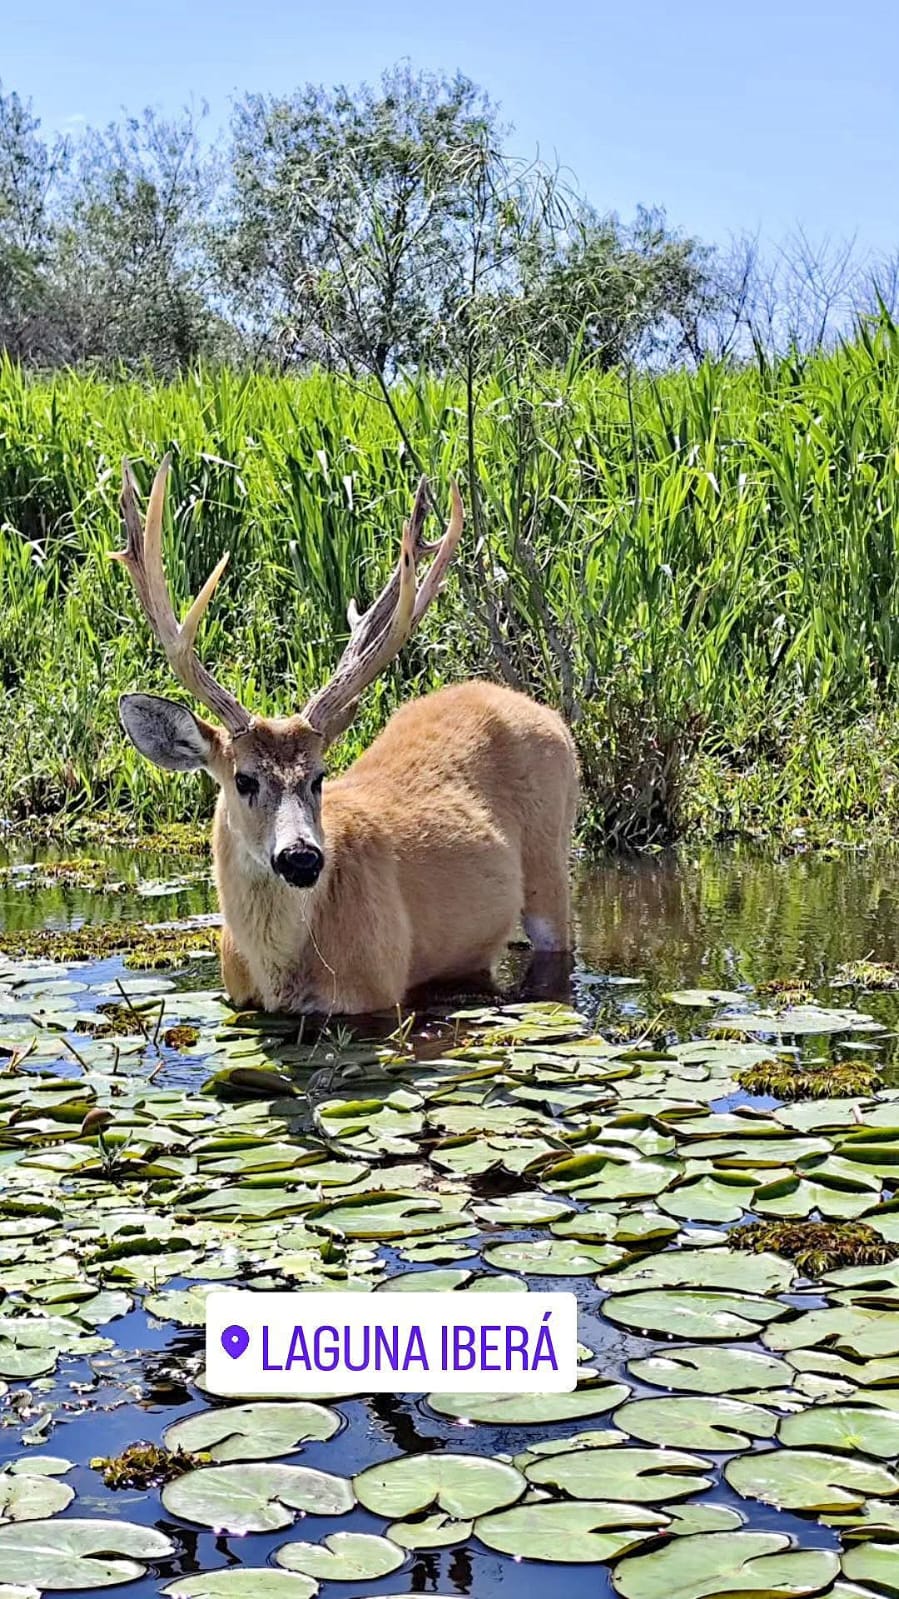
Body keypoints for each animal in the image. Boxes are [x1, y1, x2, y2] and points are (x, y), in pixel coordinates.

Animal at [113, 455, 579, 1016]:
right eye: (244, 780)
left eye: (319, 777)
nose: (301, 857)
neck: (281, 973)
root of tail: (543, 711)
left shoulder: (376, 994)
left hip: (551, 861)